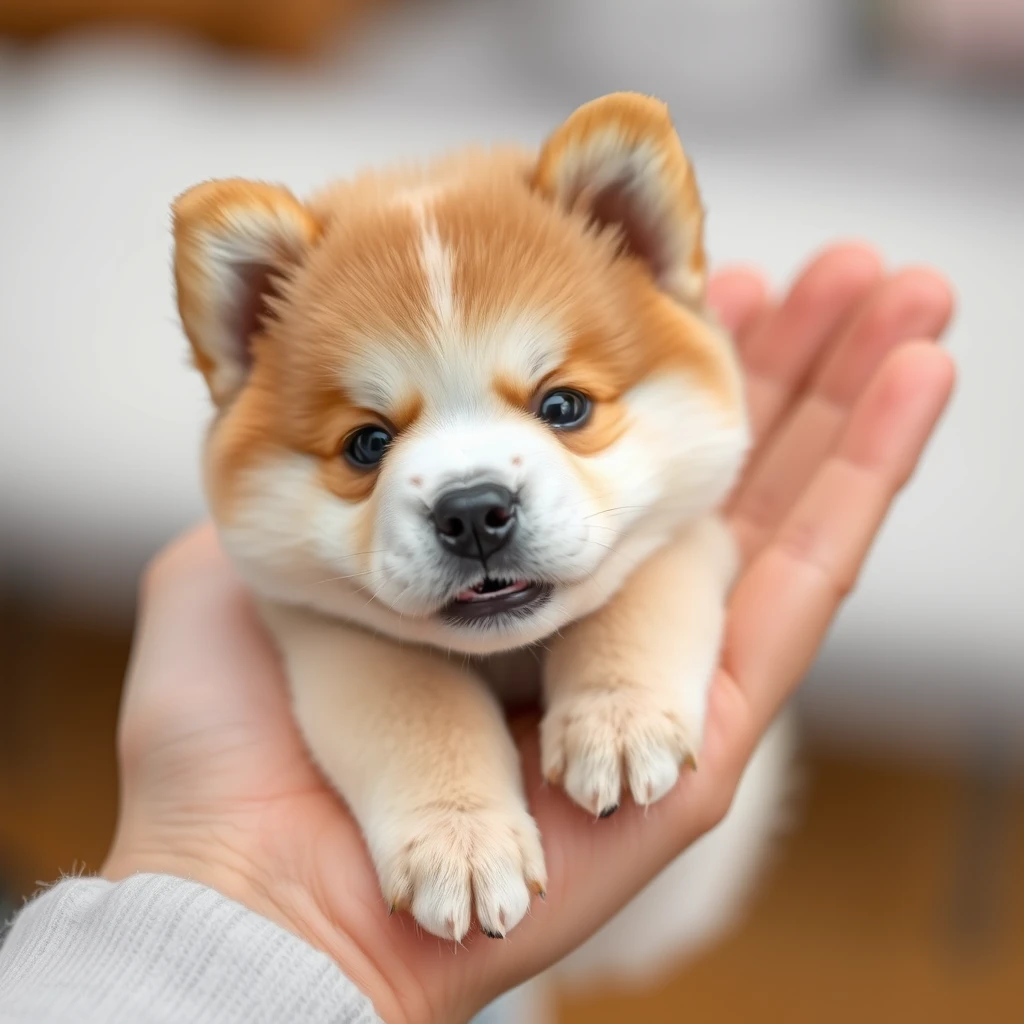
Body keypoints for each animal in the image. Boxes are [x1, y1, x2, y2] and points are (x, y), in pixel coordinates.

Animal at [174, 92, 753, 937]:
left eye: (563, 406)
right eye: (367, 444)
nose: (475, 511)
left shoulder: (689, 532)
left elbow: (634, 599)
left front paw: (617, 718)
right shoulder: (328, 634)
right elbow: (419, 707)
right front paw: (462, 837)